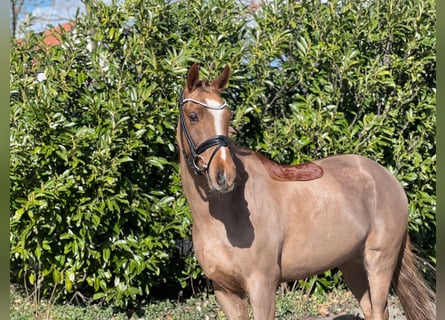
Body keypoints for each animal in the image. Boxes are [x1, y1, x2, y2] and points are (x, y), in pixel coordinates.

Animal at [174, 63, 434, 320]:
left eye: (228, 116)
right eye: (193, 116)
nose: (224, 175)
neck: (224, 215)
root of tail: (388, 179)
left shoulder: (262, 286)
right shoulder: (224, 291)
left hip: (379, 262)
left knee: (379, 309)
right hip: (352, 263)